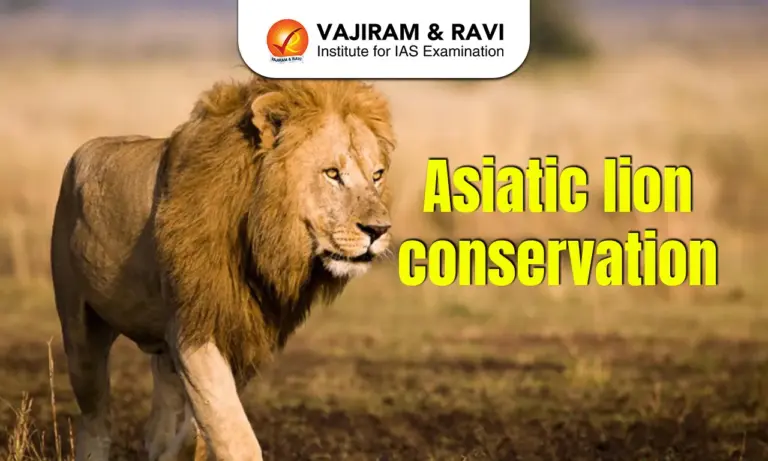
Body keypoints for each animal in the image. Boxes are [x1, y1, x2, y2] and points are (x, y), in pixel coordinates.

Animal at [49, 75, 395, 461]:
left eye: (377, 175)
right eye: (332, 173)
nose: (379, 230)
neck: (260, 240)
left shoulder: (243, 331)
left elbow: (200, 428)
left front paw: (178, 448)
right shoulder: (193, 325)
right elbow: (233, 433)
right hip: (80, 329)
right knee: (95, 418)